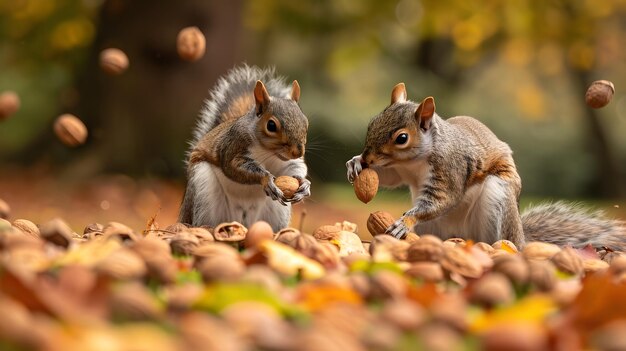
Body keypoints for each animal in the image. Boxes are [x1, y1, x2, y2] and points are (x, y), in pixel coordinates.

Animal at [178, 65, 310, 231]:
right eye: (271, 125)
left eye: (306, 122)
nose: (298, 151)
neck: (269, 153)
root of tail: (241, 220)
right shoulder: (233, 146)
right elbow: (233, 166)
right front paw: (266, 179)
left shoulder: (289, 162)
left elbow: (296, 167)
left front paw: (304, 184)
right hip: (203, 189)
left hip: (274, 212)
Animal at [346, 82, 624, 250]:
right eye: (373, 122)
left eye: (402, 138)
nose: (368, 158)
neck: (415, 161)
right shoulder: (399, 170)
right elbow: (389, 177)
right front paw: (355, 163)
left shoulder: (450, 168)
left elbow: (443, 199)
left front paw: (404, 222)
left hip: (498, 198)